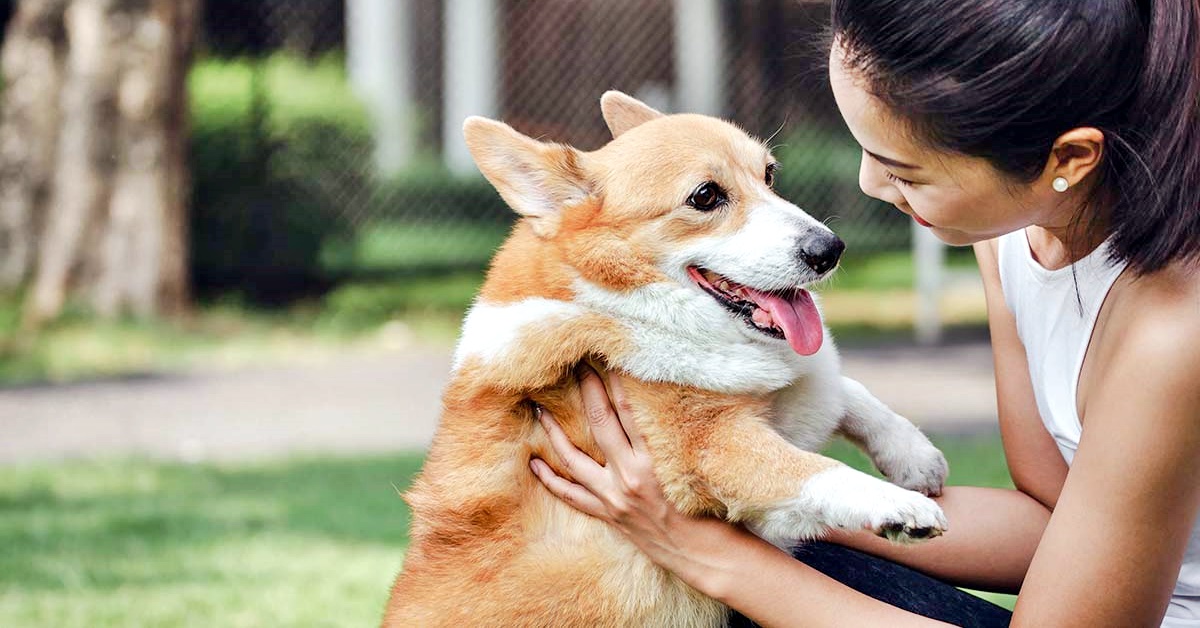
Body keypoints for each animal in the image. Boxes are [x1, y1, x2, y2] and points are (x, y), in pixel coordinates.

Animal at [384, 93, 945, 628]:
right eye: (705, 197)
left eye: (769, 175)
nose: (830, 249)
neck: (624, 303)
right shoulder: (708, 448)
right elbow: (814, 469)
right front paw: (898, 506)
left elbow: (845, 389)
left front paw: (912, 455)